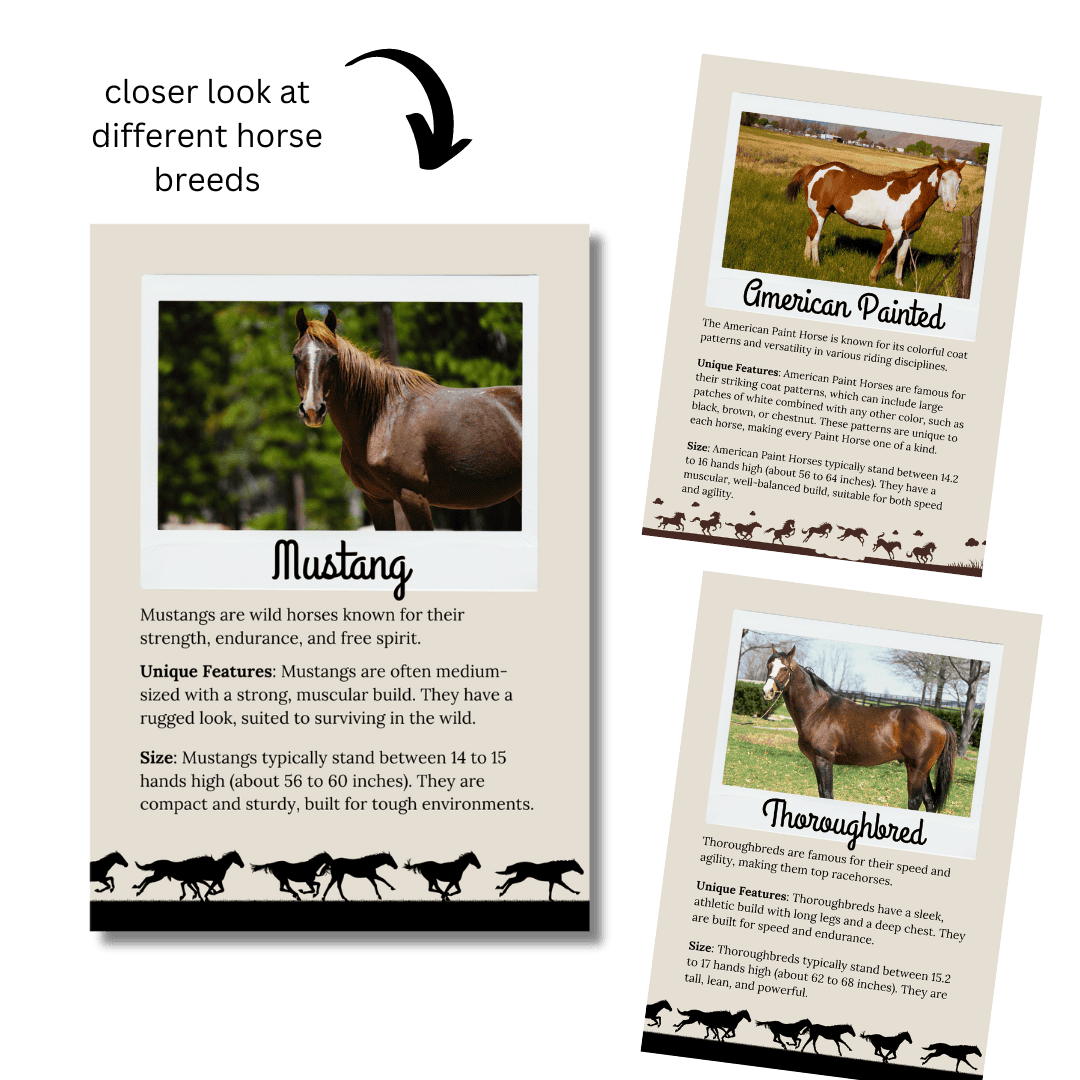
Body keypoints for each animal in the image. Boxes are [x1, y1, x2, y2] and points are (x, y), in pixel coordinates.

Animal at [292, 309, 521, 531]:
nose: (312, 410)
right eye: (295, 357)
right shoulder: (376, 500)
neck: (382, 418)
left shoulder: (413, 496)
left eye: (333, 357)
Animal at [763, 646, 955, 811]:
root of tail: (940, 722)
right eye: (769, 666)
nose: (767, 692)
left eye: (785, 668)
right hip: (924, 770)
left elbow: (827, 795)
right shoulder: (816, 762)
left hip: (917, 769)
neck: (818, 709)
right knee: (929, 802)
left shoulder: (824, 760)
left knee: (914, 802)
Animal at [786, 159, 964, 285]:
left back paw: (806, 259)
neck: (911, 196)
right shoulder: (894, 232)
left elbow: (901, 257)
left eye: (960, 181)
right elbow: (883, 255)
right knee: (815, 238)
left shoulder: (908, 233)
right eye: (943, 178)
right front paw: (872, 278)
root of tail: (814, 169)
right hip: (820, 214)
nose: (951, 206)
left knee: (810, 234)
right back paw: (816, 264)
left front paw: (898, 283)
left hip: (818, 214)